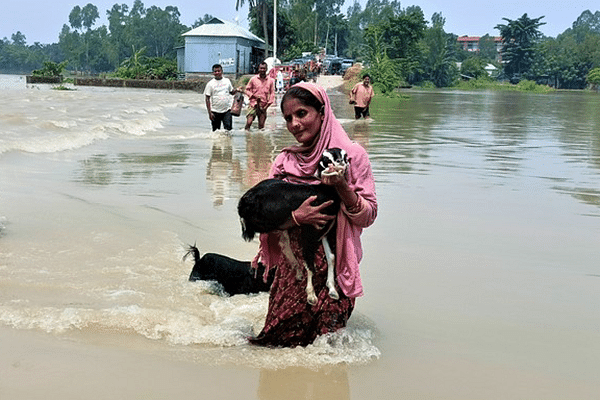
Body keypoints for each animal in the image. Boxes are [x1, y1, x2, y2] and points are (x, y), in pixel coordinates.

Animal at [234, 148, 346, 304]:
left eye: (345, 155)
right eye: (326, 159)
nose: (340, 162)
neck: (324, 193)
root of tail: (244, 200)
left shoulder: (326, 231)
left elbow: (331, 257)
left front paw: (333, 290)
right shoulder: (309, 231)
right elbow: (310, 263)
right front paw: (311, 296)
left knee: (284, 242)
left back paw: (297, 271)